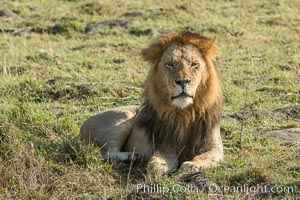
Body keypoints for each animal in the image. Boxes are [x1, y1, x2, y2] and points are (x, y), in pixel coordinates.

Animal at [79, 31, 223, 175]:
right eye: (170, 64)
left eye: (194, 64)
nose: (182, 81)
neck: (185, 112)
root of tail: (82, 127)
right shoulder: (165, 146)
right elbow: (158, 159)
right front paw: (155, 169)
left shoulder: (215, 147)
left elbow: (206, 156)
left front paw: (192, 165)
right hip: (123, 119)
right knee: (107, 152)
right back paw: (134, 156)